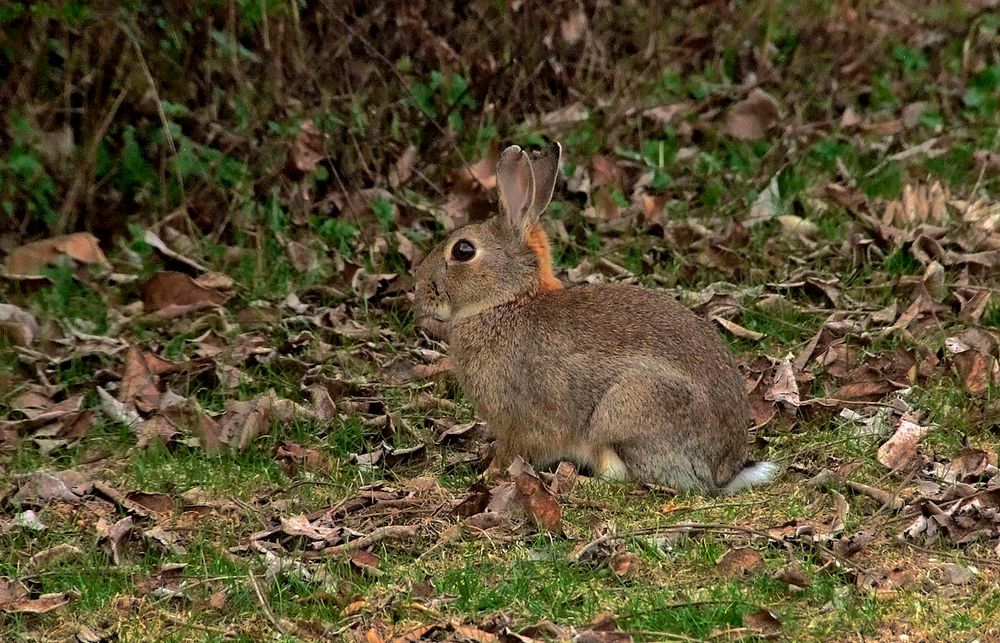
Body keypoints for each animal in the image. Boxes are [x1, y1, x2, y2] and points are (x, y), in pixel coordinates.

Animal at [410, 143, 776, 496]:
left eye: (463, 250)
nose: (419, 289)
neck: (508, 300)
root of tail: (722, 472)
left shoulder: (517, 421)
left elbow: (512, 452)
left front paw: (487, 474)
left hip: (621, 415)